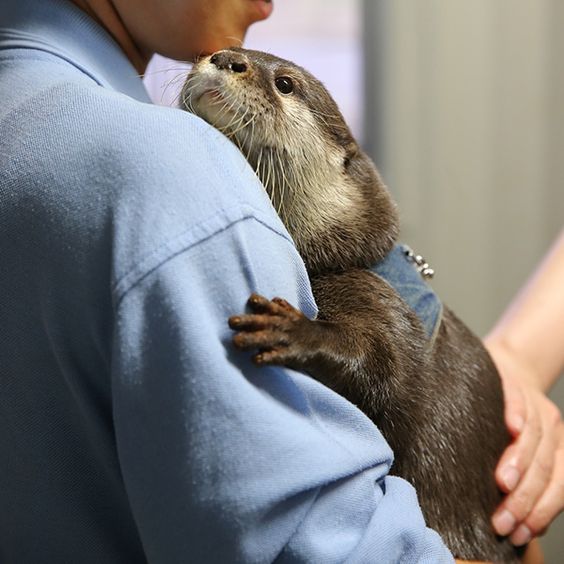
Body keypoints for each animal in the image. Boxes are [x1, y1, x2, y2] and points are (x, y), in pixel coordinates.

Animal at [183, 49, 524, 564]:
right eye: (218, 50)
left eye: (286, 84)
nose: (224, 57)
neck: (346, 254)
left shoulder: (380, 300)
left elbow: (386, 368)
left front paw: (290, 329)